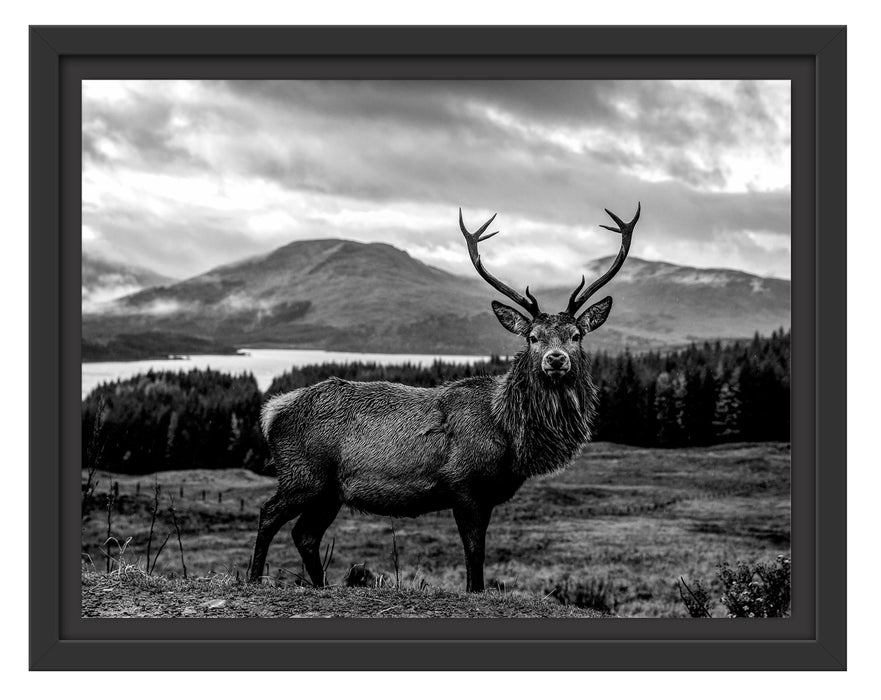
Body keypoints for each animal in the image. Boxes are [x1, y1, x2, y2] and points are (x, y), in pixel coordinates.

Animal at [248, 201, 640, 592]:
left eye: (576, 335)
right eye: (533, 337)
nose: (555, 359)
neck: (509, 434)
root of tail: (271, 412)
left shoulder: (487, 494)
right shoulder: (463, 483)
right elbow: (474, 553)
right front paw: (475, 588)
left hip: (328, 491)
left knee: (305, 534)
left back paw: (320, 585)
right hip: (303, 474)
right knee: (269, 513)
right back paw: (253, 578)